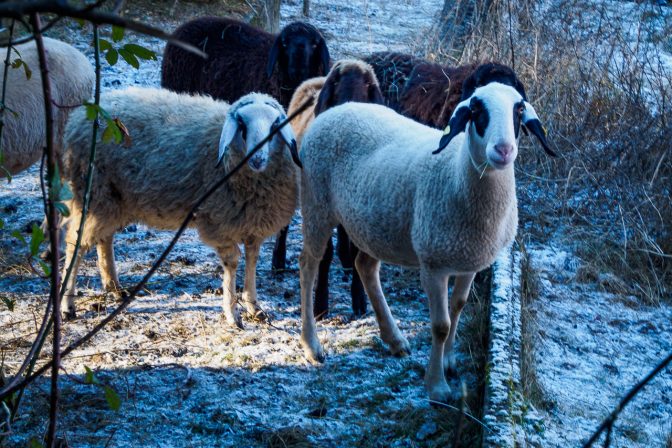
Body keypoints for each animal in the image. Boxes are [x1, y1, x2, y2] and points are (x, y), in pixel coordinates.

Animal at [296, 79, 552, 404]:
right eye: (476, 110)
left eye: (518, 110)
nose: (504, 150)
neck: (457, 172)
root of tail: (336, 111)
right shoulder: (433, 265)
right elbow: (440, 325)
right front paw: (437, 385)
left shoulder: (469, 261)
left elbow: (458, 306)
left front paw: (449, 361)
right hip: (316, 203)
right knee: (308, 265)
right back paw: (312, 344)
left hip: (373, 223)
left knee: (364, 266)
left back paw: (394, 339)